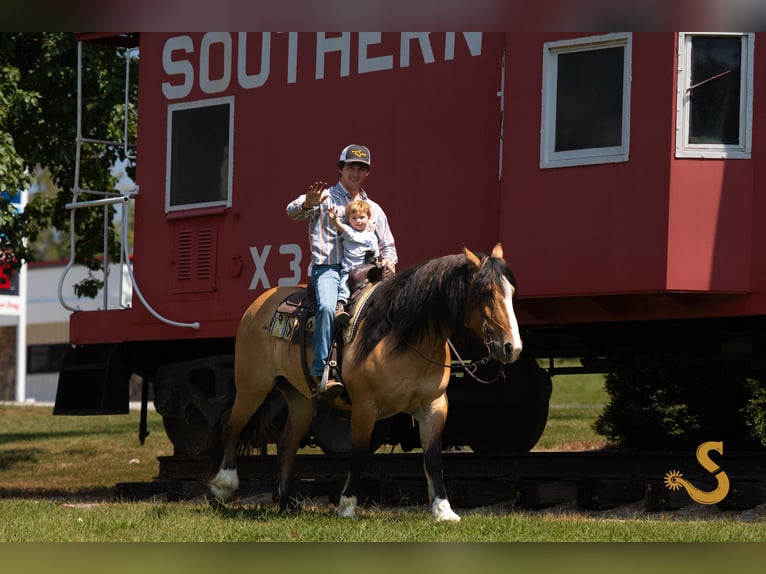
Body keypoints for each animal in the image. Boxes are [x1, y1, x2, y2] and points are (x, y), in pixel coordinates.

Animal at [209, 243, 522, 521]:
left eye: (512, 292)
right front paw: (347, 506)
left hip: (300, 399)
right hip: (253, 385)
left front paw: (444, 511)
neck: (402, 336)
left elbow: (433, 458)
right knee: (231, 425)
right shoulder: (365, 406)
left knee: (286, 444)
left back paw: (287, 503)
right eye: (486, 292)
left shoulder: (434, 405)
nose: (512, 347)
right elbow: (358, 455)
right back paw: (222, 488)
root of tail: (258, 305)